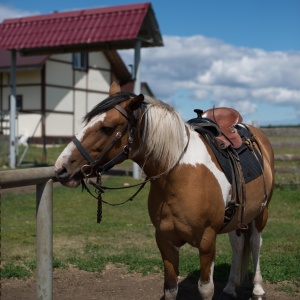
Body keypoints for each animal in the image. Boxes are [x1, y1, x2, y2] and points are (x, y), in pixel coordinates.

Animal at [54, 82, 274, 300]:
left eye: (106, 128)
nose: (61, 168)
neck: (178, 175)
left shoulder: (207, 241)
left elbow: (205, 289)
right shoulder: (165, 241)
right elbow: (170, 289)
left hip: (261, 212)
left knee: (255, 243)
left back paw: (257, 289)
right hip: (239, 216)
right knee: (238, 244)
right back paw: (230, 286)